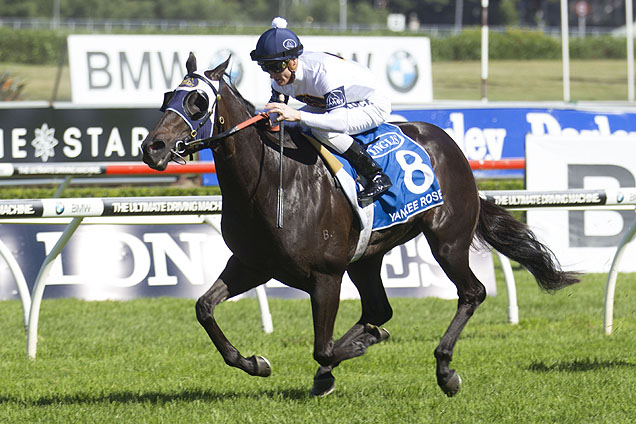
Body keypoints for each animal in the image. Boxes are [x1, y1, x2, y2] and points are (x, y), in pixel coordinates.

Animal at [142, 53, 580, 398]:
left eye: (198, 101)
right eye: (166, 97)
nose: (152, 147)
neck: (271, 182)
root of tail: (447, 143)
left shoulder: (325, 275)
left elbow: (322, 347)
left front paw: (345, 355)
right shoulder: (252, 264)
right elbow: (204, 308)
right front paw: (255, 362)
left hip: (447, 240)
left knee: (472, 292)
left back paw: (444, 370)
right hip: (367, 256)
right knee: (379, 308)